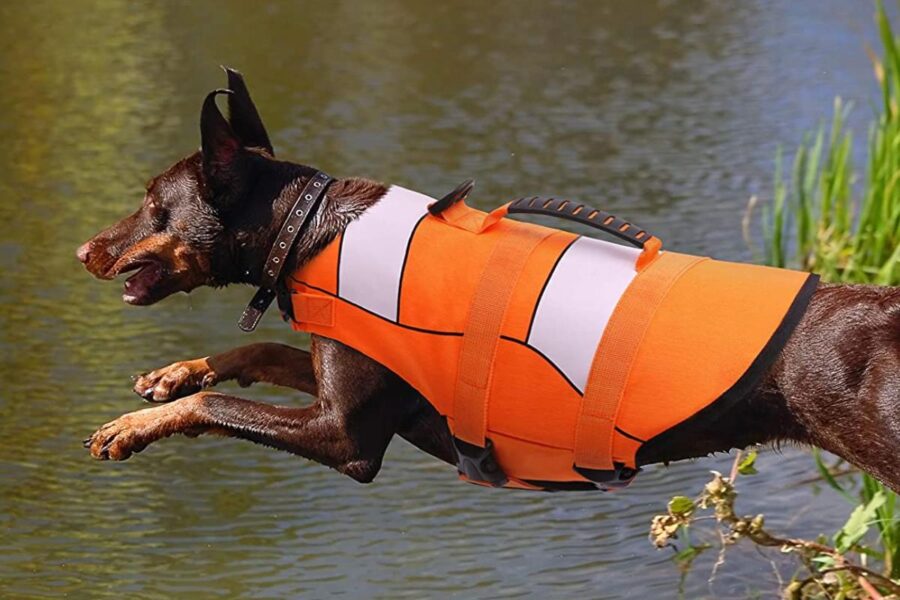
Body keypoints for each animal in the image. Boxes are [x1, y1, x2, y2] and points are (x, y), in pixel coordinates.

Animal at [79, 70, 900, 492]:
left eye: (152, 201)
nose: (85, 248)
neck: (309, 231)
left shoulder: (346, 437)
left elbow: (220, 404)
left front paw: (131, 427)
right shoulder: (359, 377)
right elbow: (252, 356)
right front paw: (170, 375)